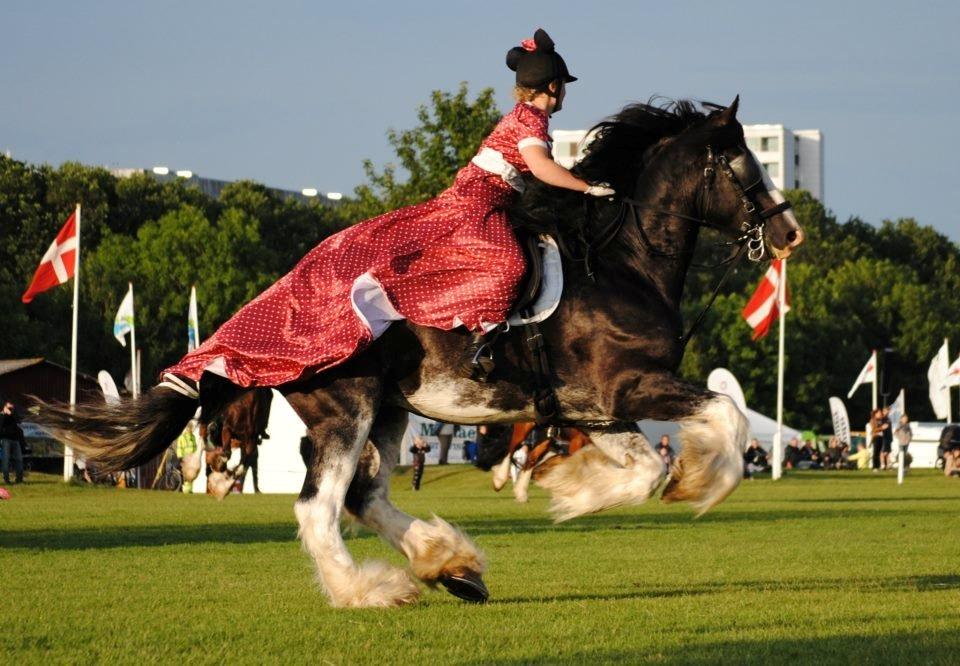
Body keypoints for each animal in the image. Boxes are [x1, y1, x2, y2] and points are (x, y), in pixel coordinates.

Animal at [37, 100, 804, 608]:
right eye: (742, 166)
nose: (790, 232)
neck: (624, 265)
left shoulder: (596, 409)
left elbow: (644, 470)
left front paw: (569, 494)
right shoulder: (629, 388)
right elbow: (727, 417)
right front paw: (697, 484)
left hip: (389, 412)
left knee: (365, 495)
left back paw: (450, 566)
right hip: (347, 410)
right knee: (320, 507)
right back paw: (372, 590)